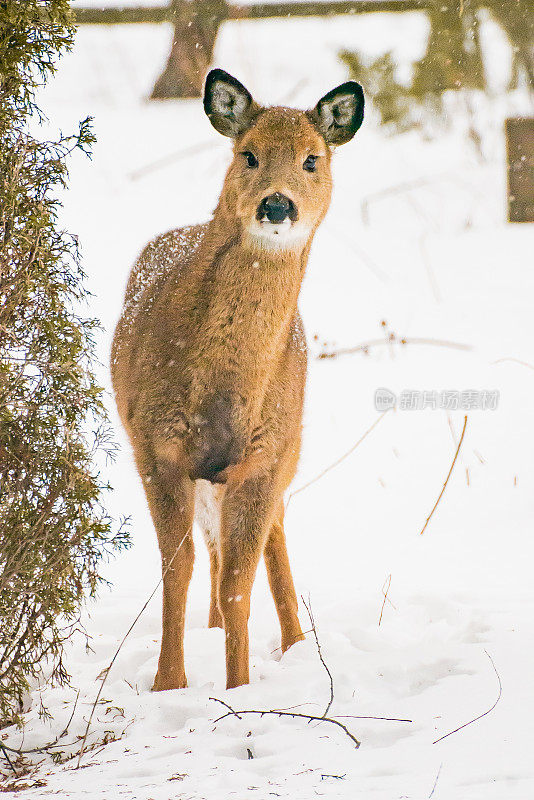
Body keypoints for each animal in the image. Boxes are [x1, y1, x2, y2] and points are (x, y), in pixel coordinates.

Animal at [112, 72, 364, 692]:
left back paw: (295, 644)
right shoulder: (157, 447)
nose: (277, 203)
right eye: (248, 154)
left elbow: (237, 583)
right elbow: (177, 570)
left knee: (268, 538)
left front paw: (239, 688)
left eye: (311, 159)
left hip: (285, 449)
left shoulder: (265, 457)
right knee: (214, 547)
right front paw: (169, 684)